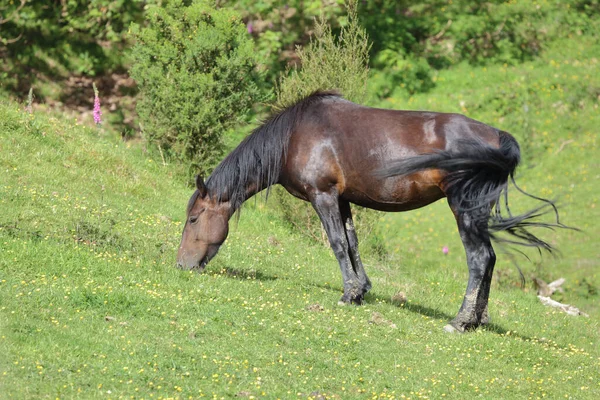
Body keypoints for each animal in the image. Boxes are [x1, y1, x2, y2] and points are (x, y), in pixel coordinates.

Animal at [176, 90, 564, 332]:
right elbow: (352, 243)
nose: (181, 265)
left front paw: (347, 294)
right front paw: (361, 290)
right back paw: (479, 319)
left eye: (194, 218)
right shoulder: (343, 199)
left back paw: (460, 321)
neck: (294, 136)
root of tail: (497, 137)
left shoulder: (324, 196)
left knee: (479, 258)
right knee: (491, 259)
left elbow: (336, 243)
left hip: (464, 208)